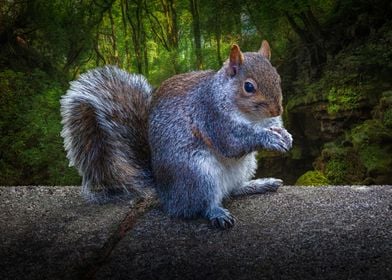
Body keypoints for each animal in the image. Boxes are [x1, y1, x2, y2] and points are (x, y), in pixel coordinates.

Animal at [60, 40, 290, 229]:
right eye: (248, 87)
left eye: (278, 78)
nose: (277, 110)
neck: (251, 117)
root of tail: (166, 195)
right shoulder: (211, 116)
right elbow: (231, 142)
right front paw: (268, 138)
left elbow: (271, 127)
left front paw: (285, 135)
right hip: (198, 174)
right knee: (203, 204)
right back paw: (217, 212)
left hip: (245, 165)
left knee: (233, 189)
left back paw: (258, 184)